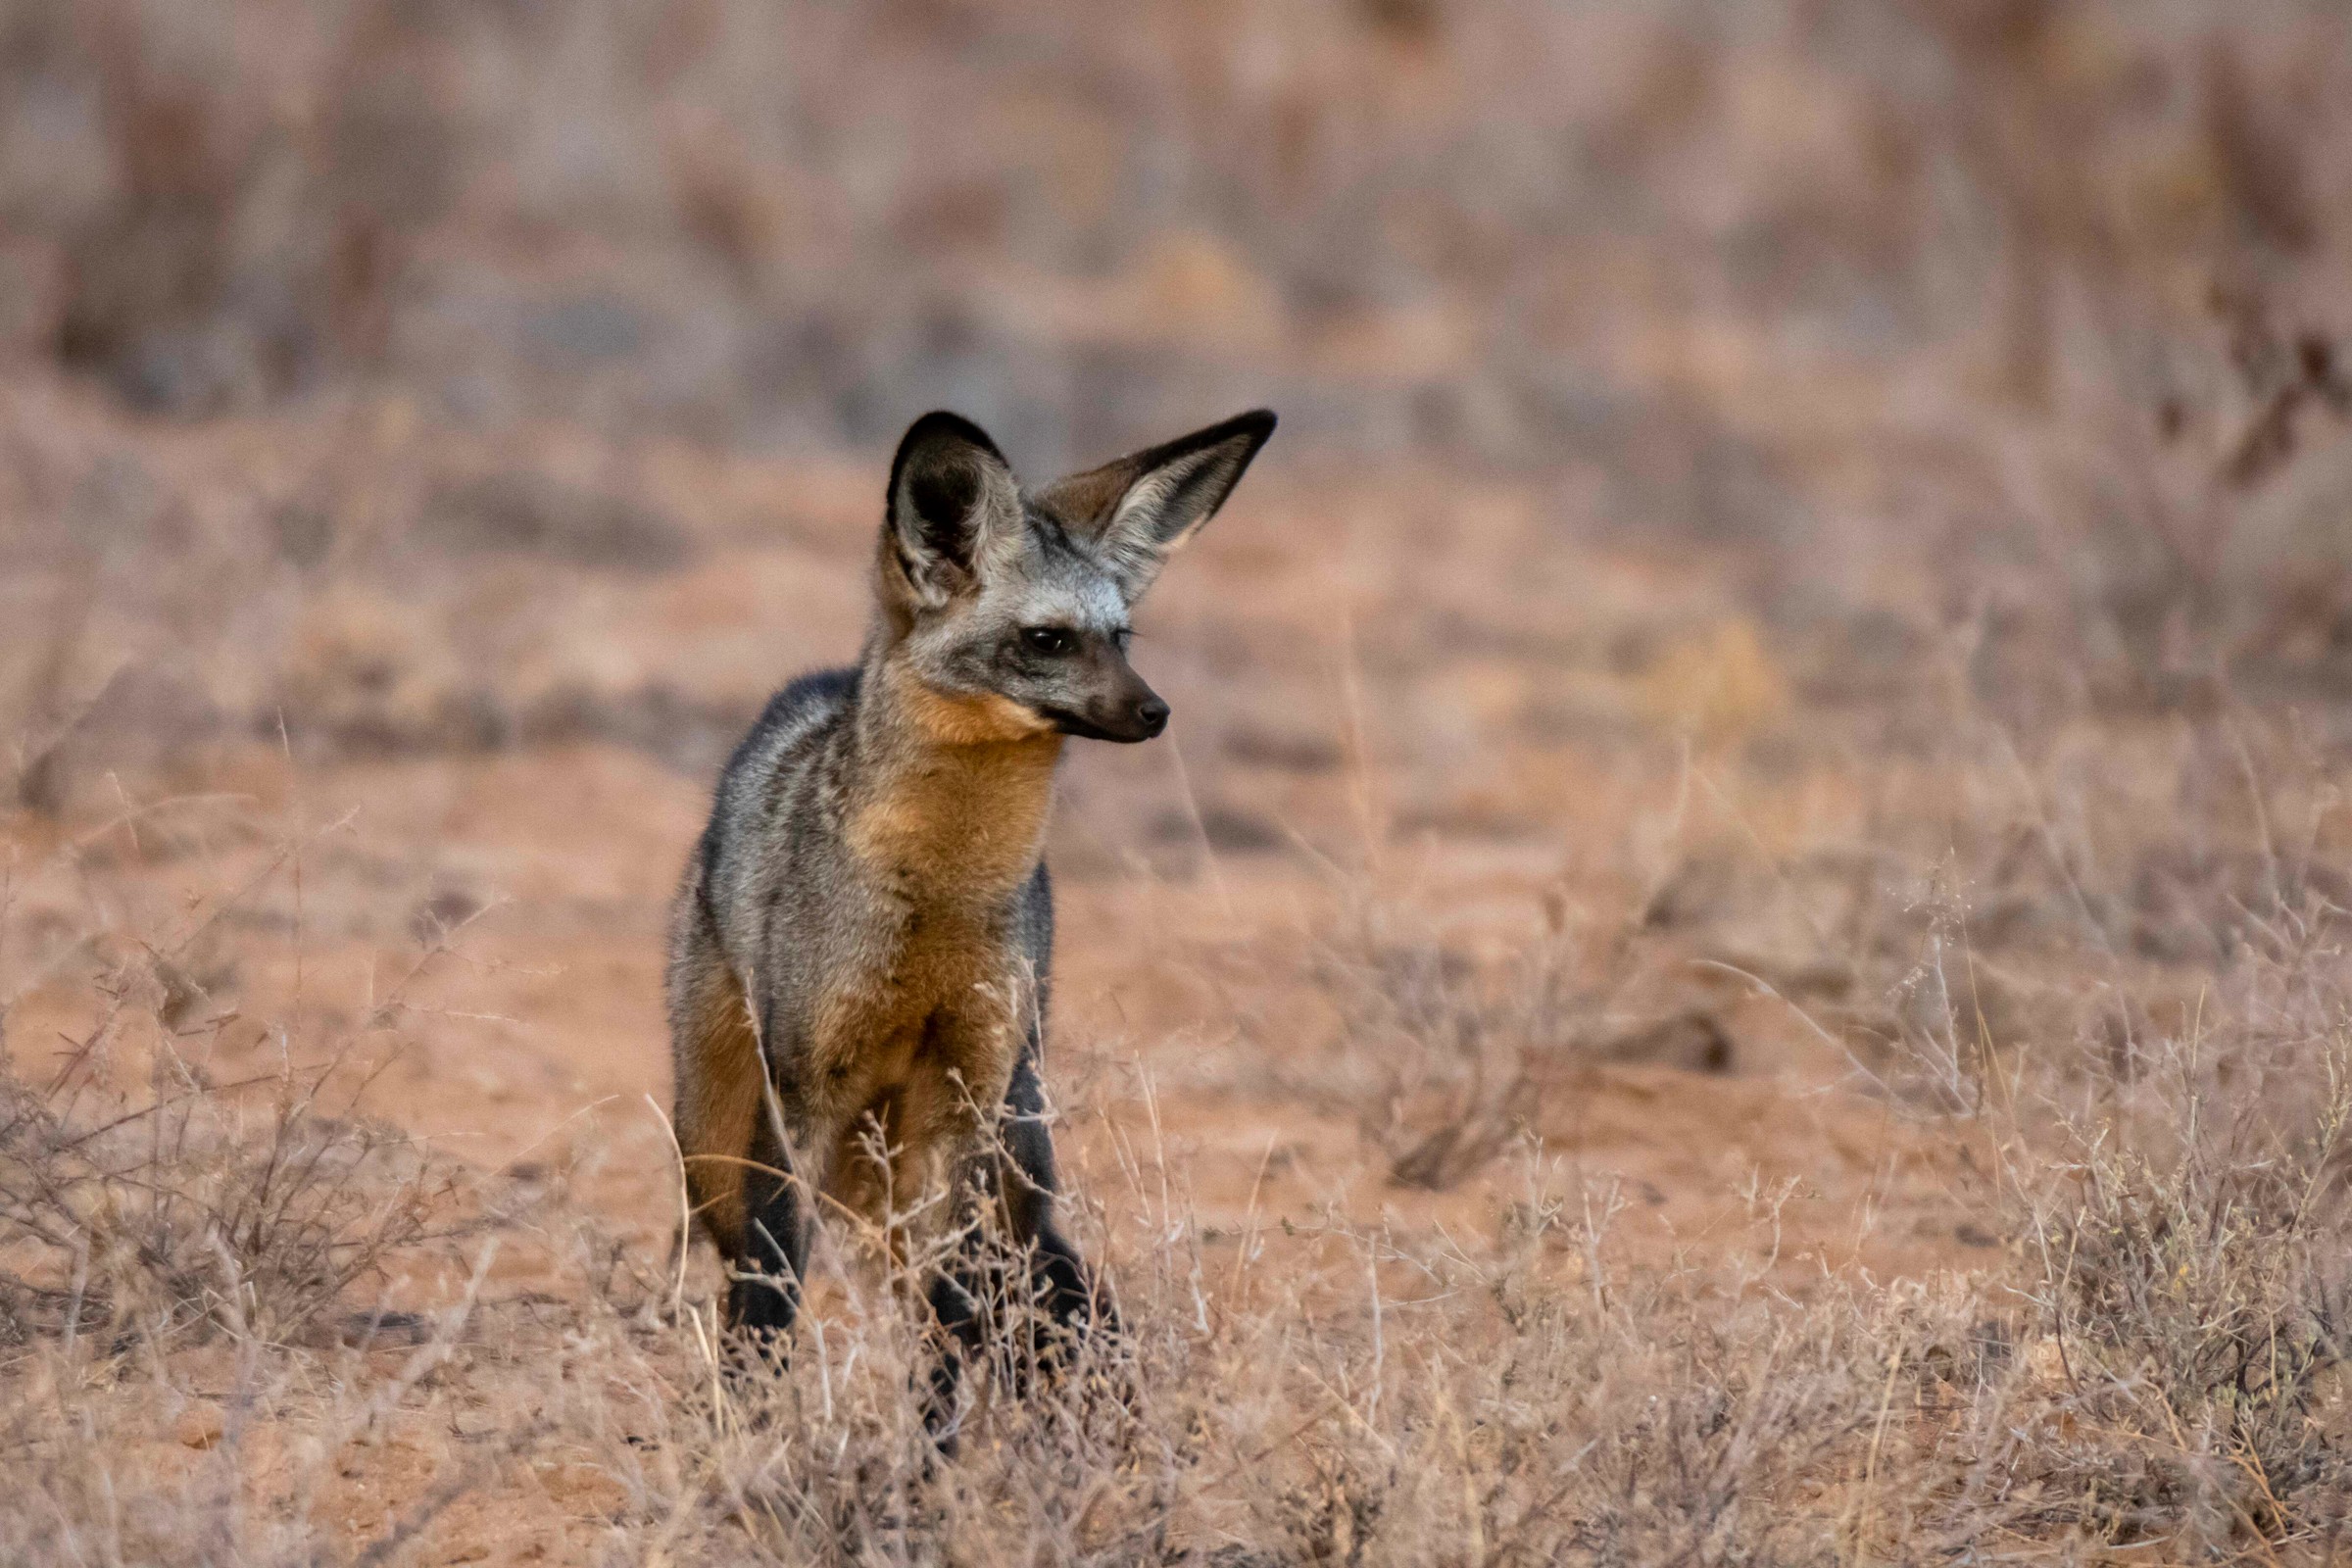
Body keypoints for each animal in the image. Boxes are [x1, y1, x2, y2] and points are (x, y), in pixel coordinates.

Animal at [667, 405, 1275, 1433]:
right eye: (1048, 639)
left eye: (1123, 635)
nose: (1154, 711)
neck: (937, 903)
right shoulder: (802, 1098)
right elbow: (772, 1292)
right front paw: (754, 1430)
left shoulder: (965, 1097)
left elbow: (954, 1320)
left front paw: (935, 1447)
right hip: (716, 1144)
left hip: (995, 1154)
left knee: (1038, 1295)